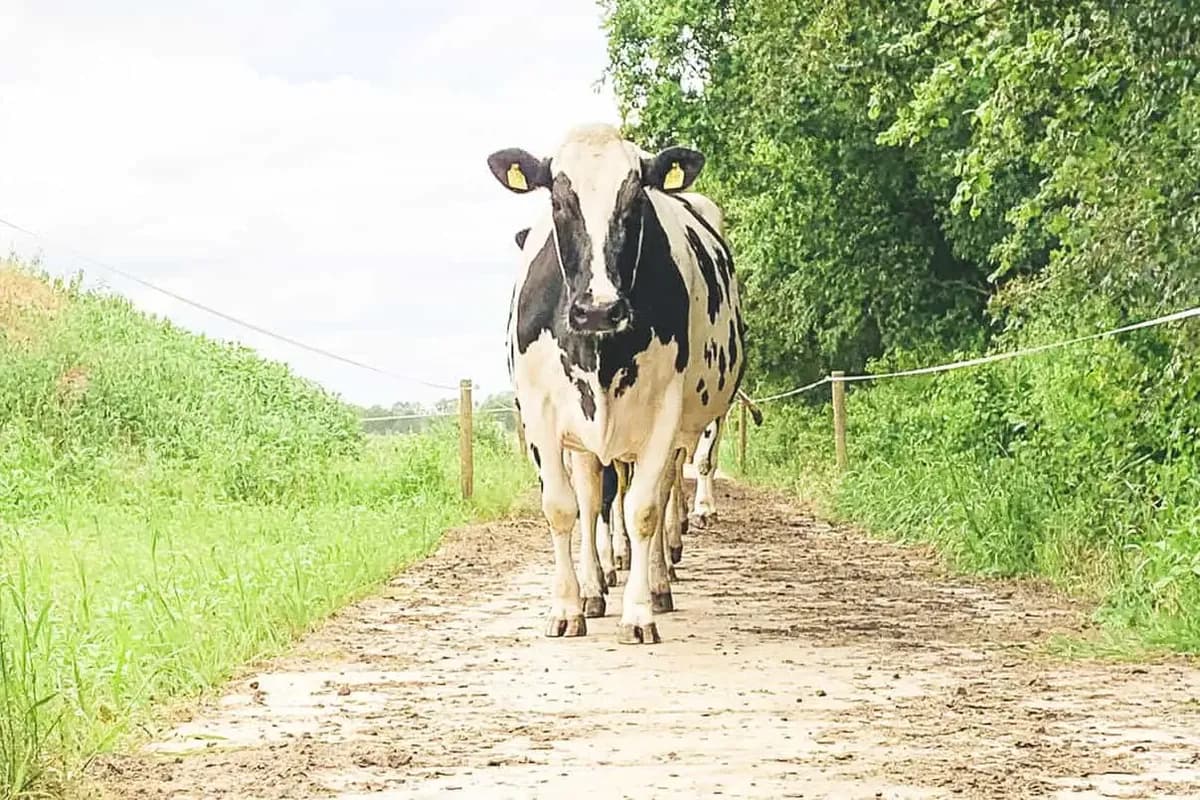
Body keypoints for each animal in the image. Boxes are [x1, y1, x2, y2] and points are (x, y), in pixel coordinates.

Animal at [490, 123, 744, 644]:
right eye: (559, 200)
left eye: (635, 200)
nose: (598, 309)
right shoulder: (542, 416)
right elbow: (564, 507)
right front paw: (568, 608)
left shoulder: (664, 414)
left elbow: (643, 508)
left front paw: (639, 614)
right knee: (592, 500)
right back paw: (594, 587)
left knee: (663, 491)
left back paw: (660, 583)